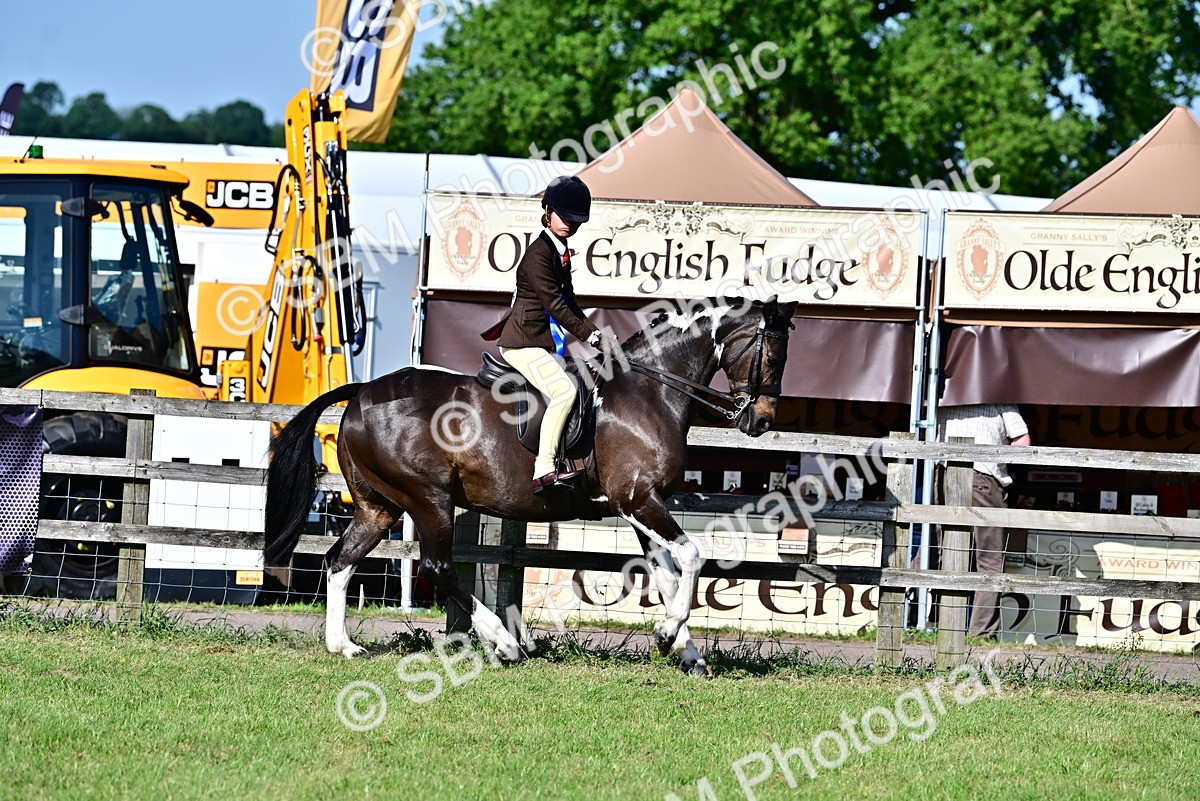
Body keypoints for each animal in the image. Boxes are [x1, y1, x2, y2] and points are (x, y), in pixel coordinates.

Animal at [263, 296, 797, 676]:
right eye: (772, 354)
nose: (761, 421)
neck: (648, 392)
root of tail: (361, 393)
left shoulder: (640, 506)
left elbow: (665, 573)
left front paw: (684, 650)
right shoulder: (637, 500)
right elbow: (690, 557)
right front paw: (670, 636)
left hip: (380, 507)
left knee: (340, 561)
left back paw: (342, 645)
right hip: (429, 499)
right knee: (438, 566)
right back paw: (504, 643)